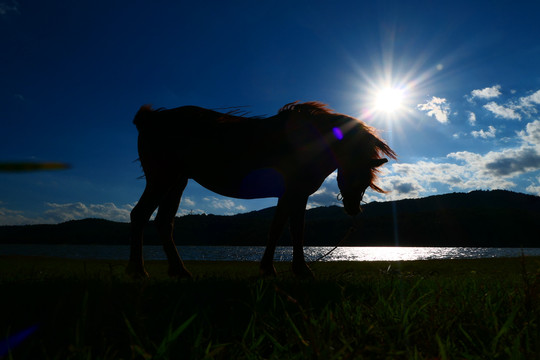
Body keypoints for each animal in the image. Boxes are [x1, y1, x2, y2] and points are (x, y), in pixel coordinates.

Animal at [126, 101, 396, 278]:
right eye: (354, 175)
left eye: (366, 182)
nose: (354, 210)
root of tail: (150, 119)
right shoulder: (290, 193)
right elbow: (280, 230)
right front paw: (275, 268)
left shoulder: (297, 196)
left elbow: (294, 230)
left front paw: (296, 268)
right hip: (161, 179)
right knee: (139, 216)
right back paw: (139, 270)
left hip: (177, 182)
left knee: (164, 222)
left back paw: (179, 270)